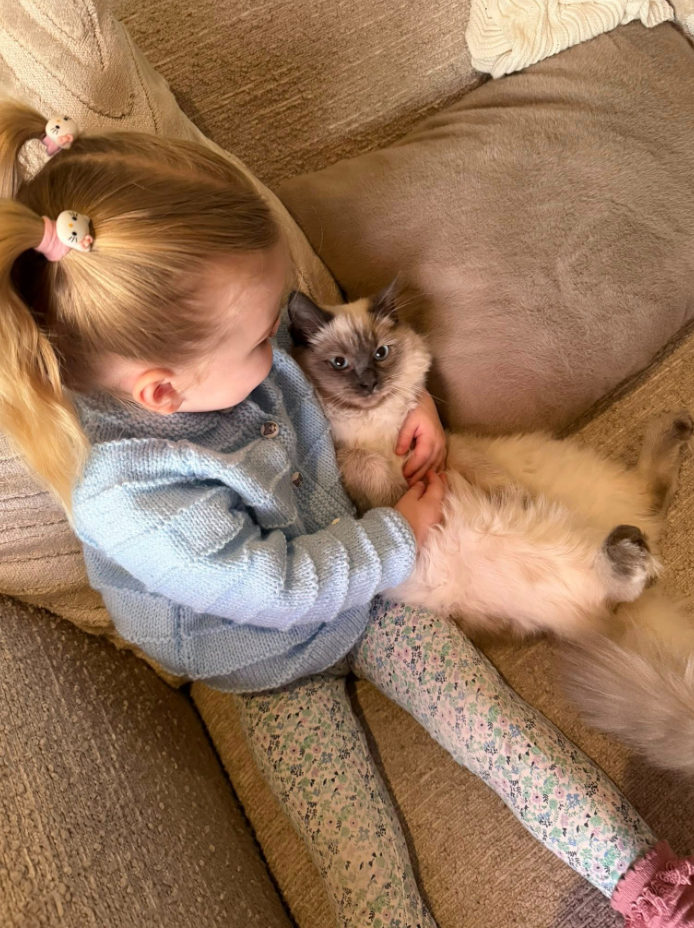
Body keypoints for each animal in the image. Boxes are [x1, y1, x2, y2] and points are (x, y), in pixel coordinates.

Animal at [288, 285, 694, 775]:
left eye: (381, 354)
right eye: (340, 363)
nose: (368, 384)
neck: (377, 427)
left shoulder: (448, 453)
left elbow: (475, 476)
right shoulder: (359, 473)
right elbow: (378, 480)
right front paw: (402, 491)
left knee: (646, 506)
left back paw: (673, 437)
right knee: (628, 560)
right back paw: (632, 541)